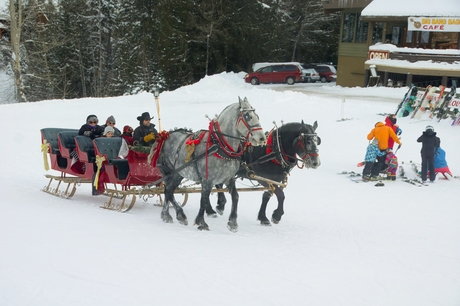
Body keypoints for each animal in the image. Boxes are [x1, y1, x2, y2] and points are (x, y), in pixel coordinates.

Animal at [156, 97, 268, 231]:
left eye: (257, 115)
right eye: (247, 116)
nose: (262, 138)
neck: (219, 145)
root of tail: (166, 136)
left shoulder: (229, 178)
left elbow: (235, 196)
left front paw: (233, 222)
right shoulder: (207, 180)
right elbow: (204, 199)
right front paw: (202, 222)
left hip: (178, 174)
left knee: (168, 190)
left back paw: (169, 215)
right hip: (172, 172)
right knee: (168, 191)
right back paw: (175, 214)